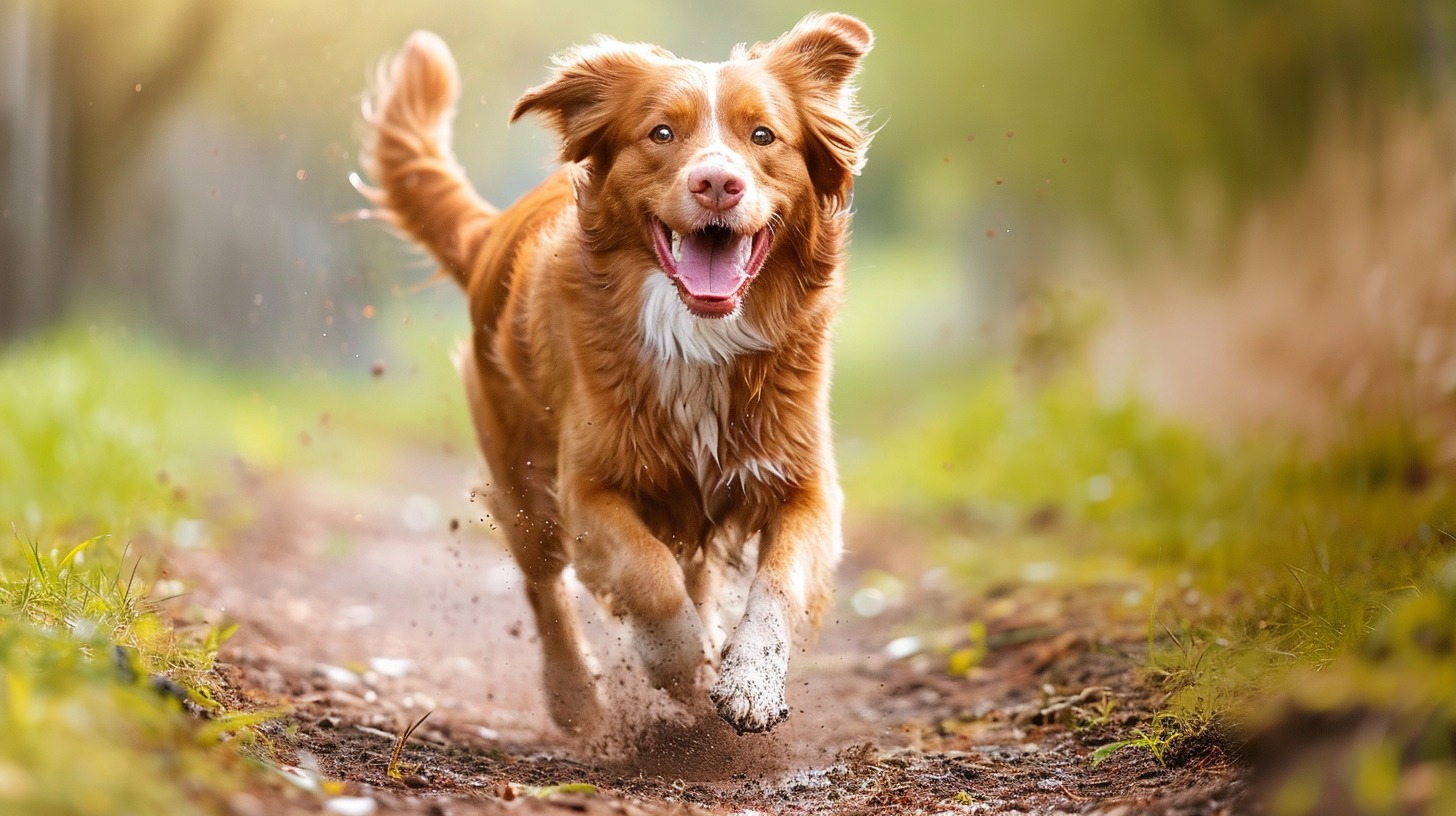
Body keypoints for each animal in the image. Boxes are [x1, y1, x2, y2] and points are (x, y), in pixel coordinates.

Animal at [356, 15, 867, 737]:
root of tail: (490, 233)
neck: (697, 334)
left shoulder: (804, 484)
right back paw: (575, 696)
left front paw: (749, 680)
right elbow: (647, 577)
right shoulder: (589, 486)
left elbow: (779, 582)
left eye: (764, 135)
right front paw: (680, 662)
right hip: (523, 479)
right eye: (662, 133)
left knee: (695, 575)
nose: (718, 184)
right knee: (544, 585)